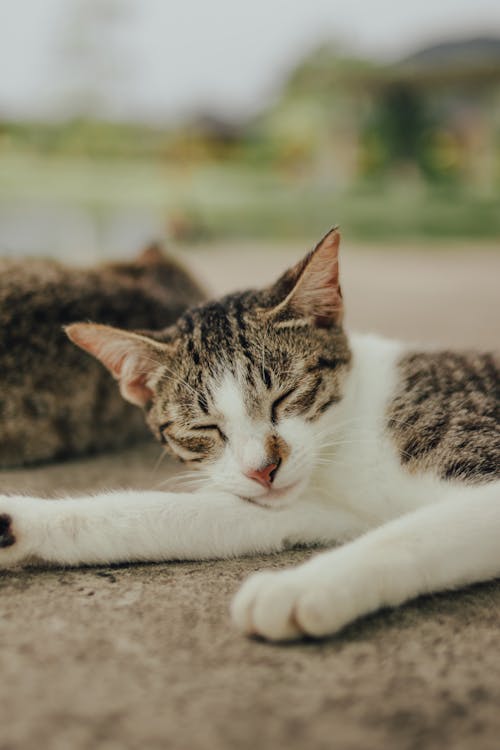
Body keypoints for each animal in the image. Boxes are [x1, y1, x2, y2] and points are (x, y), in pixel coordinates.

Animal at [0, 226, 500, 644]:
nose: (264, 469)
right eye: (203, 428)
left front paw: (297, 588)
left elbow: (408, 534)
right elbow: (166, 514)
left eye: (286, 396)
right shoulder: (312, 506)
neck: (346, 435)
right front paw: (21, 523)